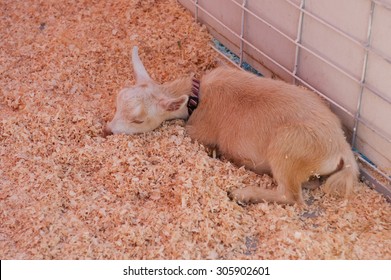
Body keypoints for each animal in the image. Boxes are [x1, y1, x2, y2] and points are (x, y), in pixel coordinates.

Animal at [103, 46, 358, 206]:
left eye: (138, 119)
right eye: (117, 100)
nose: (107, 130)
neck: (198, 97)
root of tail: (342, 148)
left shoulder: (199, 131)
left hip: (288, 151)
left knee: (292, 197)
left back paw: (241, 193)